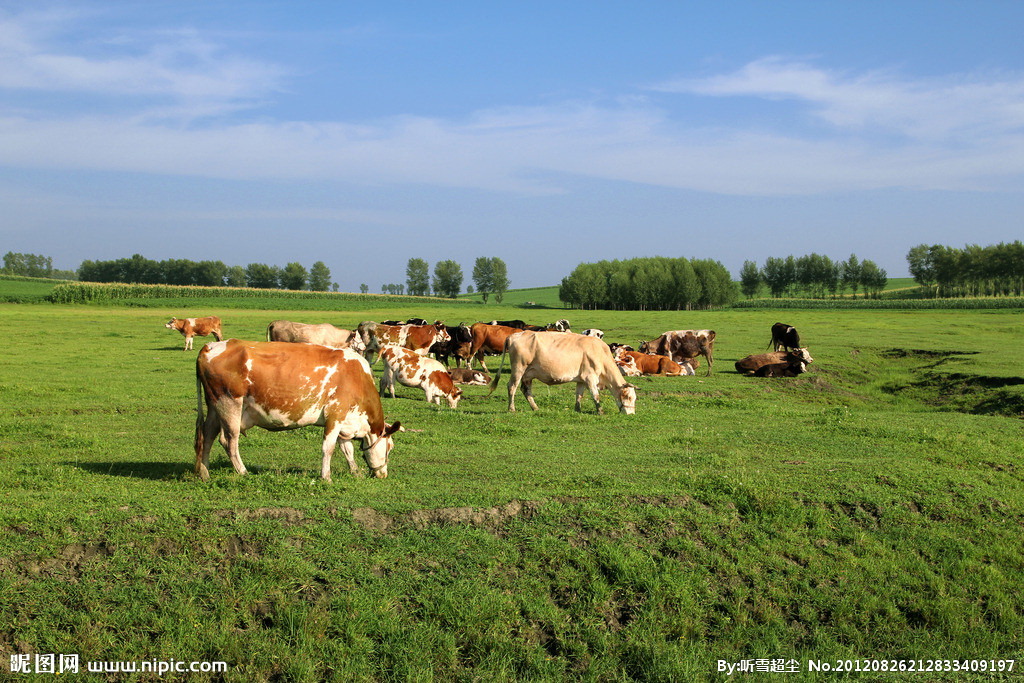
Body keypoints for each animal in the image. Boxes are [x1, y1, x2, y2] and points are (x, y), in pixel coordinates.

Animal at [193, 339, 401, 481]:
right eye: (390, 447)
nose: (383, 474)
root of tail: (211, 346)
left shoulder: (344, 421)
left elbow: (346, 448)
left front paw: (355, 471)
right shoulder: (335, 414)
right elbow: (329, 448)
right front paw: (326, 477)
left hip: (214, 407)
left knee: (207, 436)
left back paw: (204, 473)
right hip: (229, 404)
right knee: (229, 441)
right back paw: (243, 471)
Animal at [485, 329, 630, 413]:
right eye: (628, 397)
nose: (631, 413)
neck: (600, 353)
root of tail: (514, 335)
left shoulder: (582, 379)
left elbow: (579, 394)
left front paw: (577, 409)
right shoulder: (590, 378)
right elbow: (595, 395)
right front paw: (600, 411)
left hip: (528, 374)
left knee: (525, 390)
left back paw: (535, 408)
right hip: (518, 368)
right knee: (512, 387)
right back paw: (511, 408)